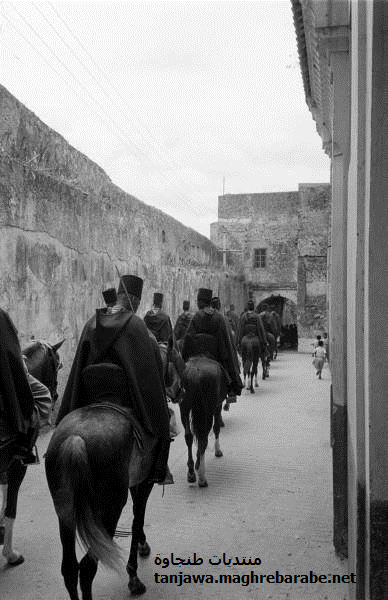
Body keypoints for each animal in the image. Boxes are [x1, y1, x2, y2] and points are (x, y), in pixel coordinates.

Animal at [179, 356, 227, 488]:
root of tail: (194, 374)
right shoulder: (217, 406)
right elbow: (216, 428)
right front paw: (217, 450)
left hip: (184, 408)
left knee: (189, 436)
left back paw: (191, 472)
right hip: (207, 411)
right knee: (203, 440)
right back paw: (202, 477)